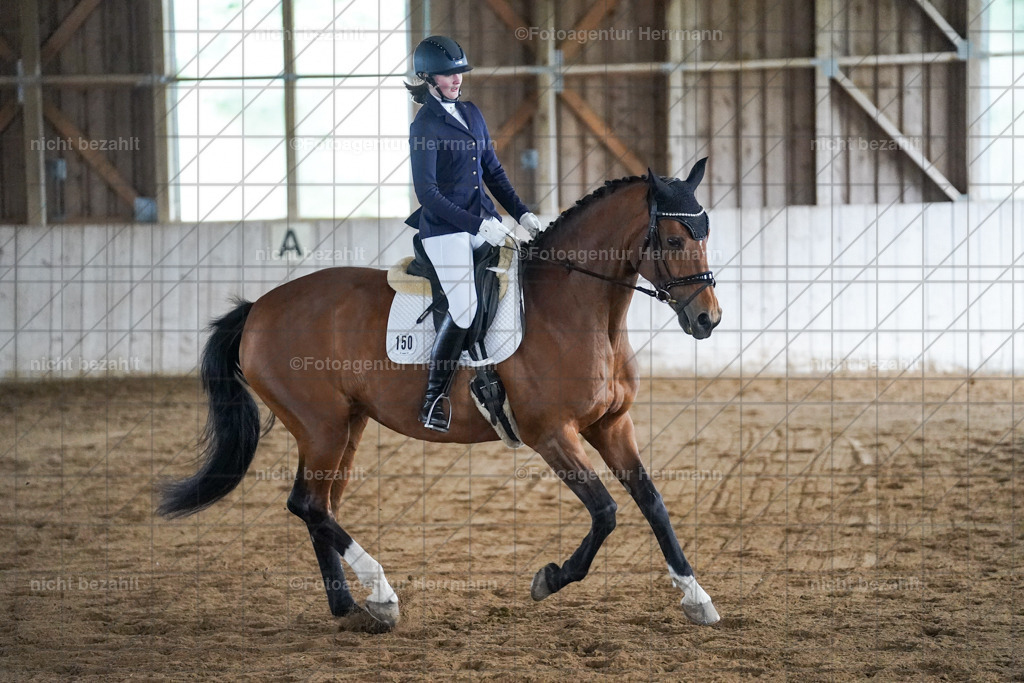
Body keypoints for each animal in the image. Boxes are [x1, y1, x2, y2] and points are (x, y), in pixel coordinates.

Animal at [158, 159, 723, 632]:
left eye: (706, 234)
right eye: (675, 241)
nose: (708, 320)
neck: (578, 308)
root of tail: (257, 309)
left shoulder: (611, 424)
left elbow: (652, 502)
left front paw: (696, 598)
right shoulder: (551, 434)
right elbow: (606, 511)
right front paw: (549, 578)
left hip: (346, 426)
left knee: (320, 508)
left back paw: (352, 608)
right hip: (322, 427)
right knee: (308, 504)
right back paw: (382, 595)